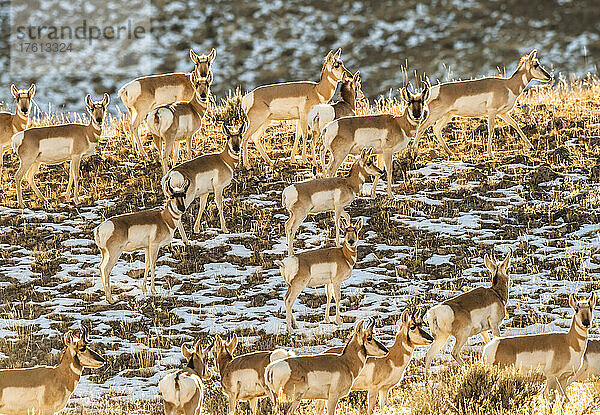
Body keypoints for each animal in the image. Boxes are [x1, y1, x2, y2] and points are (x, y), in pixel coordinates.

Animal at [414, 50, 552, 158]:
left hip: (448, 115)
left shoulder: (502, 113)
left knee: (436, 129)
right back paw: (413, 153)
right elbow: (491, 129)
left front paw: (530, 146)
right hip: (436, 115)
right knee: (421, 128)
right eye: (536, 64)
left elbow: (516, 125)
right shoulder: (492, 111)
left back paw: (450, 153)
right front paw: (490, 153)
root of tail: (432, 91)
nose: (549, 76)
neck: (508, 85)